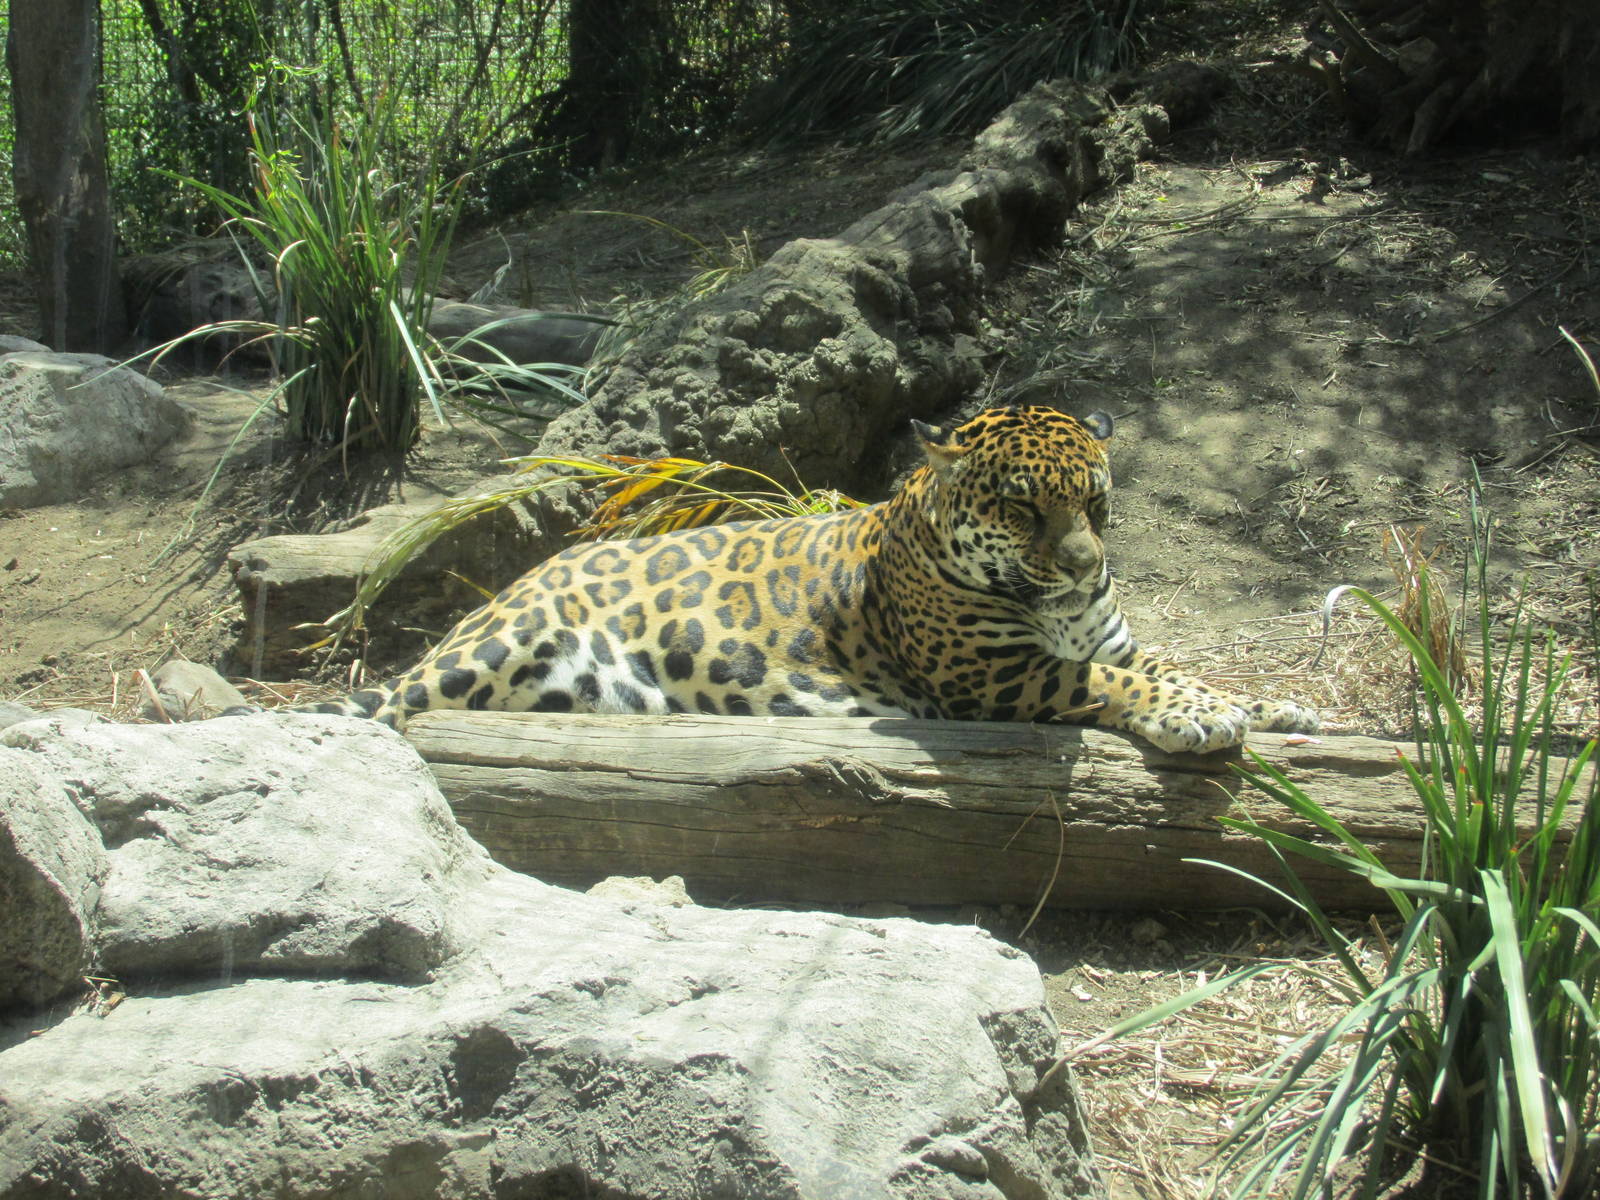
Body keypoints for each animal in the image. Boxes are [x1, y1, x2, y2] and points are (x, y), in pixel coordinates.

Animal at [296, 404, 1319, 754]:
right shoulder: (994, 677)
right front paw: (1199, 718)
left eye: (1097, 505)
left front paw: (1267, 706)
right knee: (384, 705)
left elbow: (1162, 664)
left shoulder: (1108, 637)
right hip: (501, 641)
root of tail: (529, 571)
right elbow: (1103, 680)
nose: (1084, 564)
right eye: (1025, 510)